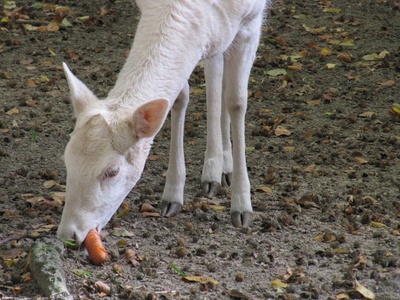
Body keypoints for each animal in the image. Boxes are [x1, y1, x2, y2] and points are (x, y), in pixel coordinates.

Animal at [57, 0, 268, 246]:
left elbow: (237, 102)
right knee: (215, 64)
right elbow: (179, 97)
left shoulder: (252, 19)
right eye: (66, 160)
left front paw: (242, 209)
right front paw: (172, 196)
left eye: (112, 171)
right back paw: (216, 169)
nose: (69, 235)